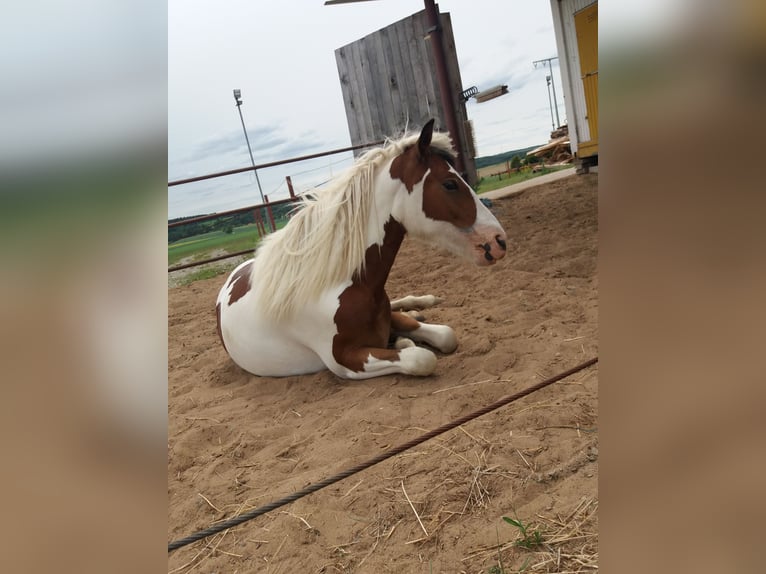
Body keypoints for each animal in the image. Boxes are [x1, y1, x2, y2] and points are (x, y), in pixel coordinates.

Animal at [214, 120, 510, 382]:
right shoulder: (345, 361)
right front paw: (403, 343)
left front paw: (410, 327)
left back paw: (422, 304)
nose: (499, 241)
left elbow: (446, 335)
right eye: (450, 183)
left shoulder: (390, 319)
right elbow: (421, 358)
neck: (344, 284)